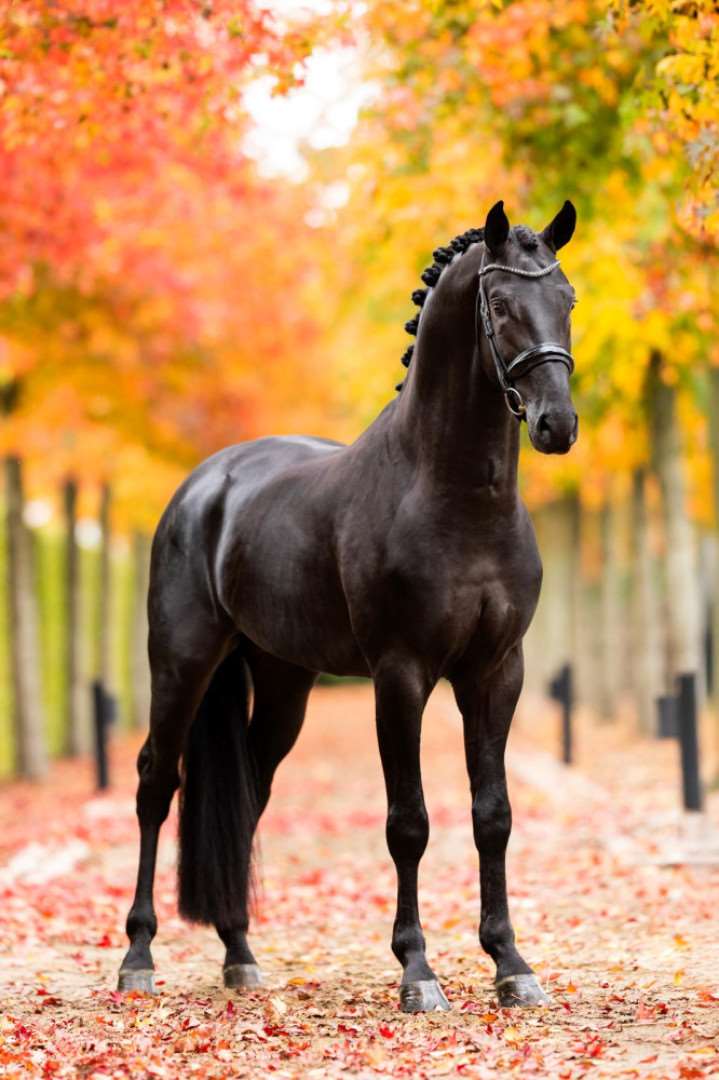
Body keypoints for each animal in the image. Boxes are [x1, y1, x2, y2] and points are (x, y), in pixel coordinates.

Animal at [118, 199, 579, 1013]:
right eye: (498, 304)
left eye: (568, 299)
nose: (556, 424)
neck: (451, 493)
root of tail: (206, 485)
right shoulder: (400, 676)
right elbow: (409, 823)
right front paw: (417, 971)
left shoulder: (498, 672)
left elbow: (492, 815)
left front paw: (510, 964)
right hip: (181, 662)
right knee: (154, 783)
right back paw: (138, 957)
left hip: (281, 683)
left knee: (250, 793)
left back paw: (240, 952)